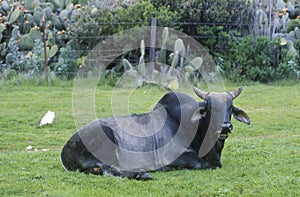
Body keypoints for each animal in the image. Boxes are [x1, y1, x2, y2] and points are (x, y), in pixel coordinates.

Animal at [59, 87, 250, 179]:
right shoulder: (175, 156)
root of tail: (65, 149)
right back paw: (143, 173)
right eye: (210, 107)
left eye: (230, 107)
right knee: (109, 170)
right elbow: (200, 163)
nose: (225, 126)